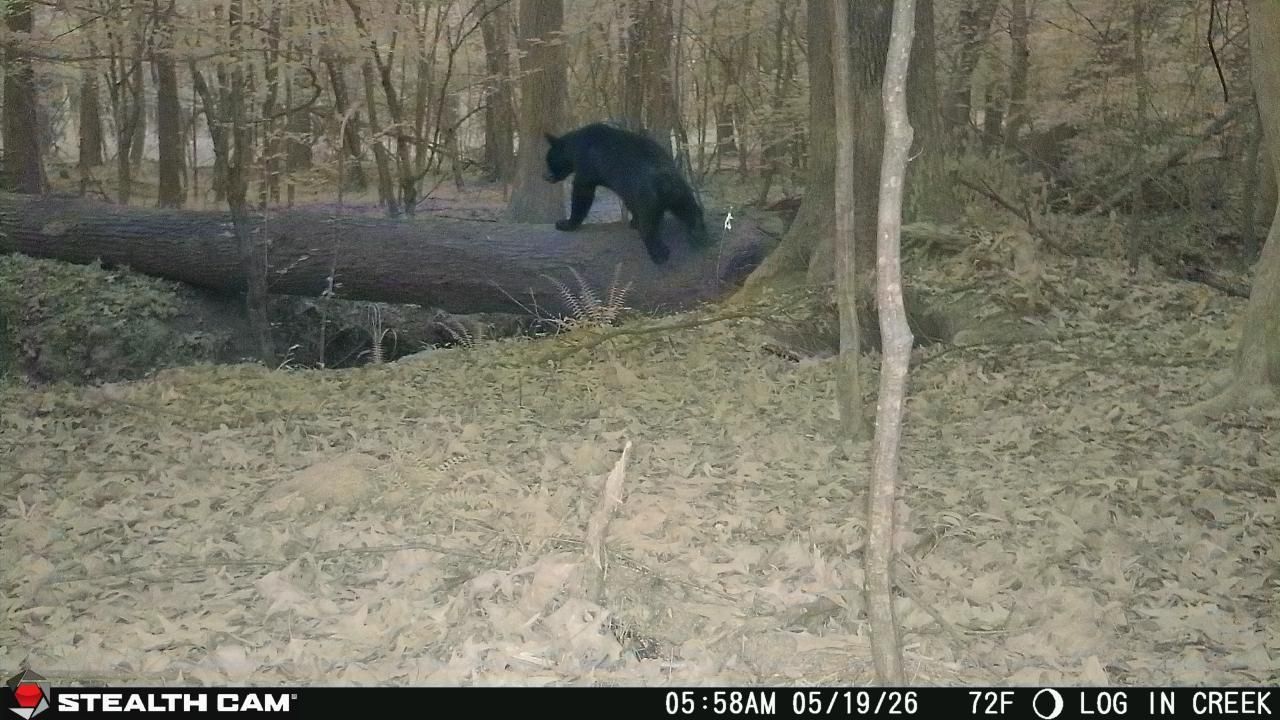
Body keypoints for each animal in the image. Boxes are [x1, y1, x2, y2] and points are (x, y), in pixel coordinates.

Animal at [542, 123, 710, 265]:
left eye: (549, 159)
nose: (545, 176)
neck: (575, 147)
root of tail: (666, 181)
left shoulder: (586, 168)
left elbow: (582, 194)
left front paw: (566, 223)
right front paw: (633, 221)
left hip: (646, 198)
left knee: (649, 225)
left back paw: (658, 253)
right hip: (680, 192)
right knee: (689, 208)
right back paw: (699, 233)